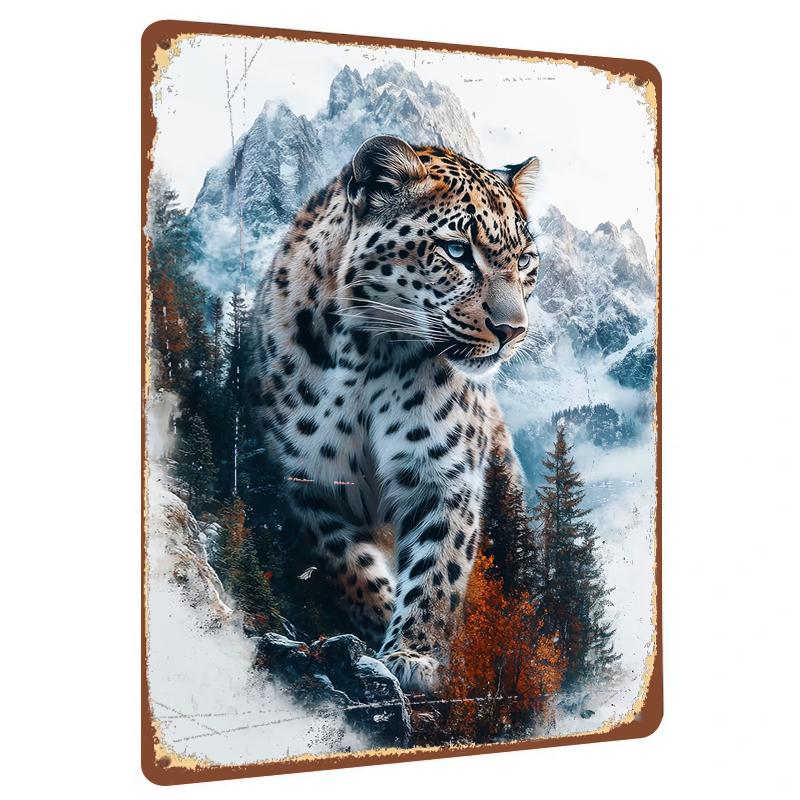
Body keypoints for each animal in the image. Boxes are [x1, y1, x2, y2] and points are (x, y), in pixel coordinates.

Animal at [248, 136, 541, 694]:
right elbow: (345, 561)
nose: (512, 330)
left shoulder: (444, 477)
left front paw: (415, 656)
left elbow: (437, 571)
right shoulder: (306, 485)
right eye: (457, 251)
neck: (368, 353)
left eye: (527, 261)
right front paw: (381, 622)